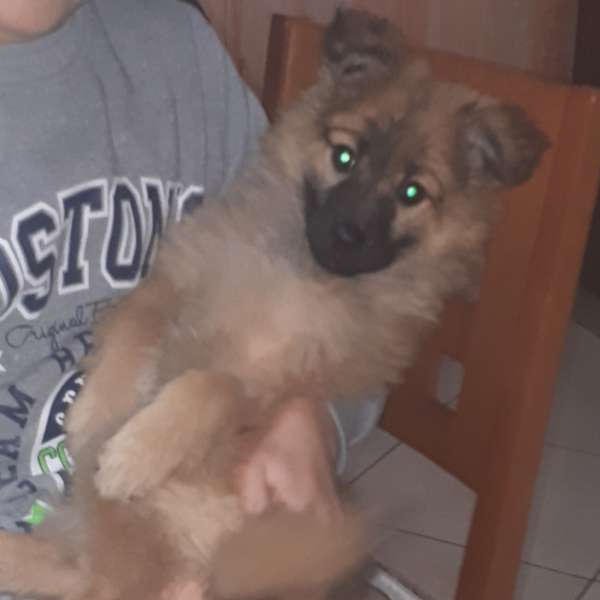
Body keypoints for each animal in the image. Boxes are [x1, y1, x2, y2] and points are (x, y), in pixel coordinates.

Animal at [0, 9, 549, 600]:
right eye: (344, 156)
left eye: (412, 193)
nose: (348, 235)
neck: (300, 277)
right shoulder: (179, 276)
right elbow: (138, 325)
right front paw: (97, 409)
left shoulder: (280, 385)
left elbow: (213, 385)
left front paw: (139, 451)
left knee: (84, 575)